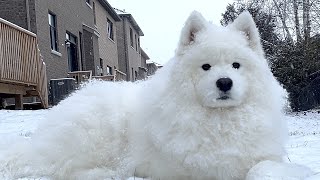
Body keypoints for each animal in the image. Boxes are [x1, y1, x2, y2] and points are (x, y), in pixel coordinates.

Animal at [1, 11, 288, 180]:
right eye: (206, 66)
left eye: (236, 65)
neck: (218, 121)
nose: (225, 82)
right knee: (61, 168)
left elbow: (262, 166)